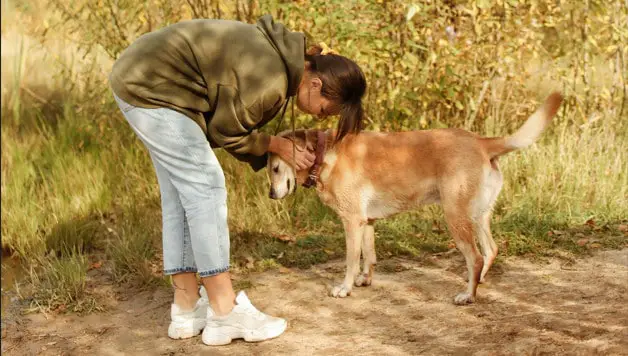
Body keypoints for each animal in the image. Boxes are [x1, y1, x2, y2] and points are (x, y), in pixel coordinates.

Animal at [268, 93, 560, 304]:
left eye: (274, 168)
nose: (271, 194)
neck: (325, 154)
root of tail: (481, 141)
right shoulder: (367, 222)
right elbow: (369, 255)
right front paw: (365, 279)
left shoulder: (352, 222)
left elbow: (351, 260)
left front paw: (345, 287)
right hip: (478, 216)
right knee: (490, 250)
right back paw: (478, 282)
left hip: (455, 217)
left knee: (475, 257)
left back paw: (468, 295)